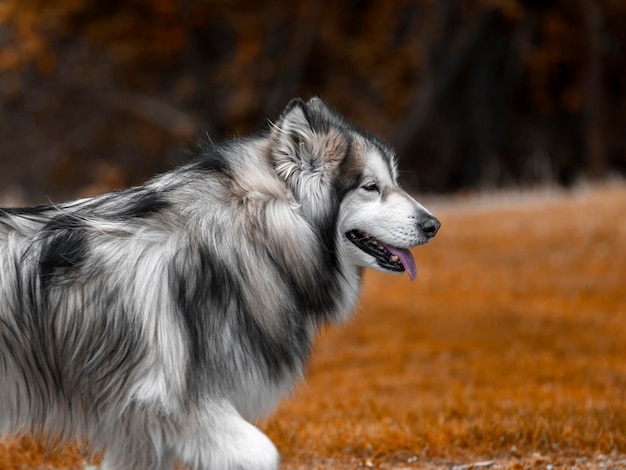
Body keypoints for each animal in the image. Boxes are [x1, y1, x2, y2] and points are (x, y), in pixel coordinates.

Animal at [0, 97, 438, 468]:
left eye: (393, 181)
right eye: (371, 187)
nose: (434, 225)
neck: (244, 236)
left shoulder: (139, 431)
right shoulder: (177, 404)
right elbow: (264, 454)